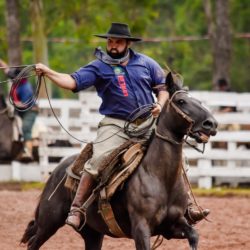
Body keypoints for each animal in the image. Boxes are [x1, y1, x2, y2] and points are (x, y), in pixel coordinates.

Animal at [21, 72, 217, 250]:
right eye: (181, 101)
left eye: (199, 102)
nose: (211, 124)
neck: (160, 177)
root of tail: (58, 168)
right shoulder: (141, 228)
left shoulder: (173, 225)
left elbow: (194, 235)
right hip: (49, 222)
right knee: (33, 243)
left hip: (92, 233)